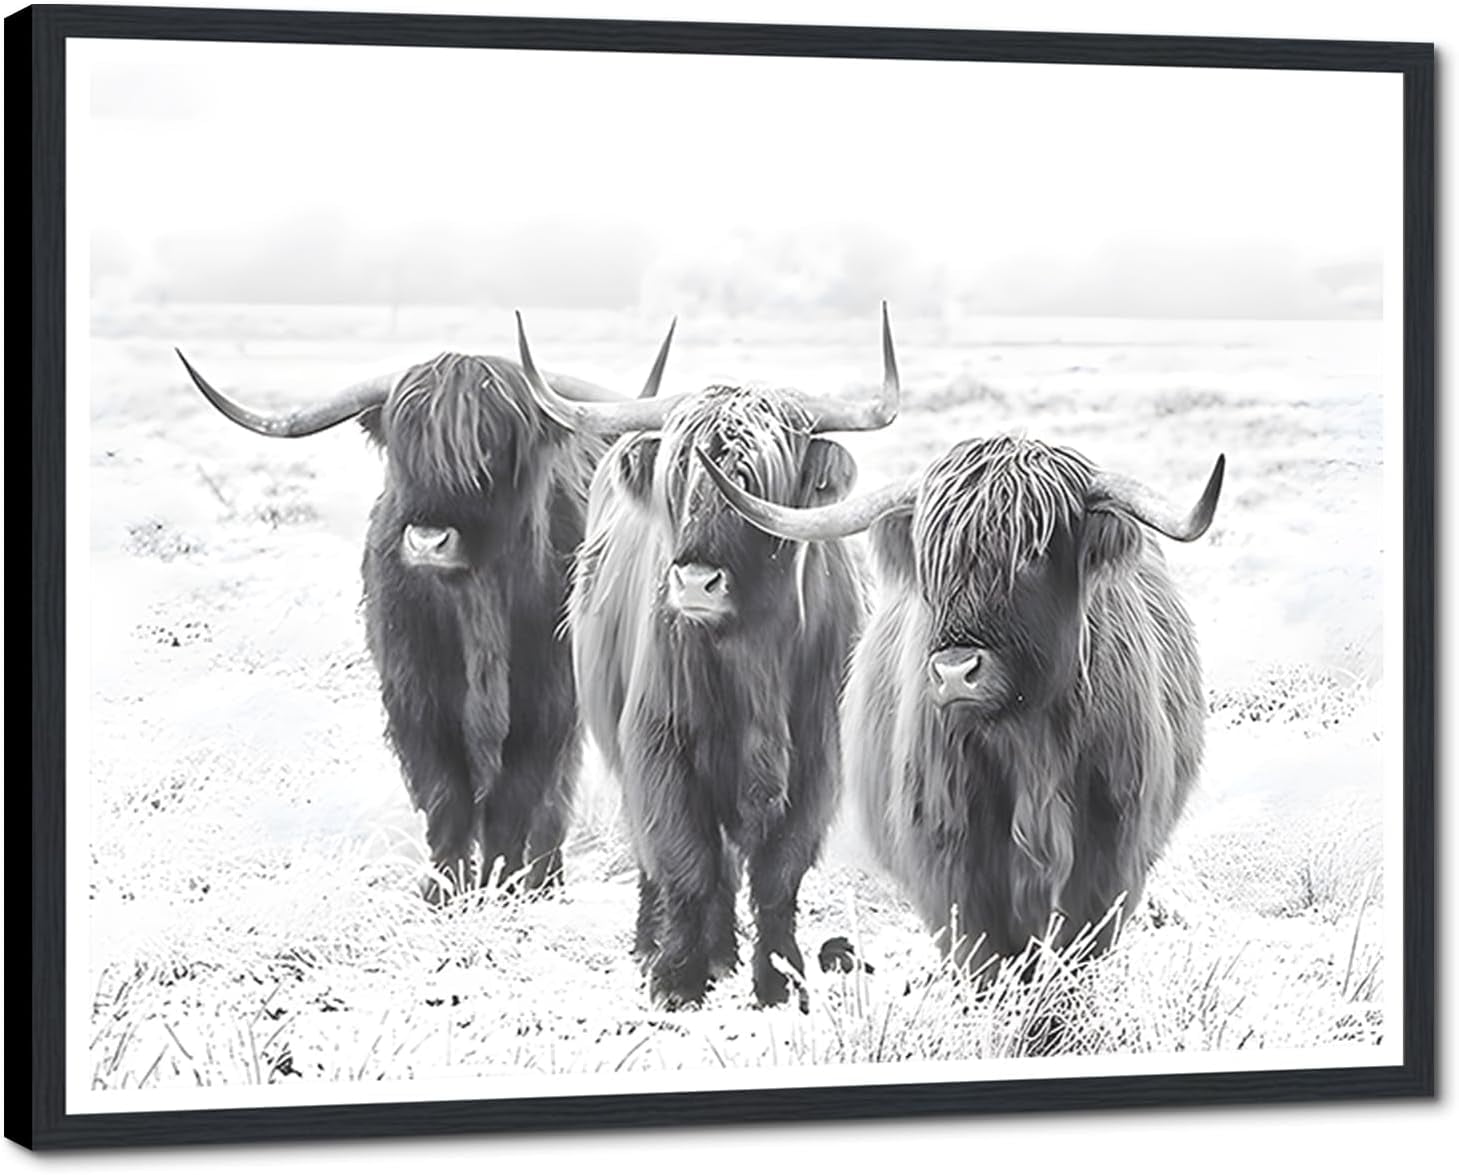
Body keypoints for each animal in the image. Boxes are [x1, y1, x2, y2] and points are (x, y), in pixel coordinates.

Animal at [176, 330, 674, 904]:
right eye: (403, 444)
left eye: (488, 441)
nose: (429, 540)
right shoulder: (415, 699)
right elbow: (445, 797)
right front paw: (442, 892)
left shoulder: (546, 701)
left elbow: (517, 801)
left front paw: (501, 889)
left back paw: (545, 882)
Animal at [511, 307, 901, 1010]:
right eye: (677, 478)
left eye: (758, 480)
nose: (695, 582)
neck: (755, 655)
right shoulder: (659, 745)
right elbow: (685, 860)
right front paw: (677, 977)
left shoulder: (817, 761)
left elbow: (777, 876)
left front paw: (780, 979)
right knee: (667, 859)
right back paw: (666, 946)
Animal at [699, 433, 1225, 977]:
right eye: (932, 561)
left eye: (1032, 553)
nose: (956, 671)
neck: (1028, 742)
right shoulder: (949, 859)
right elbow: (984, 958)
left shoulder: (1110, 854)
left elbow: (1076, 953)